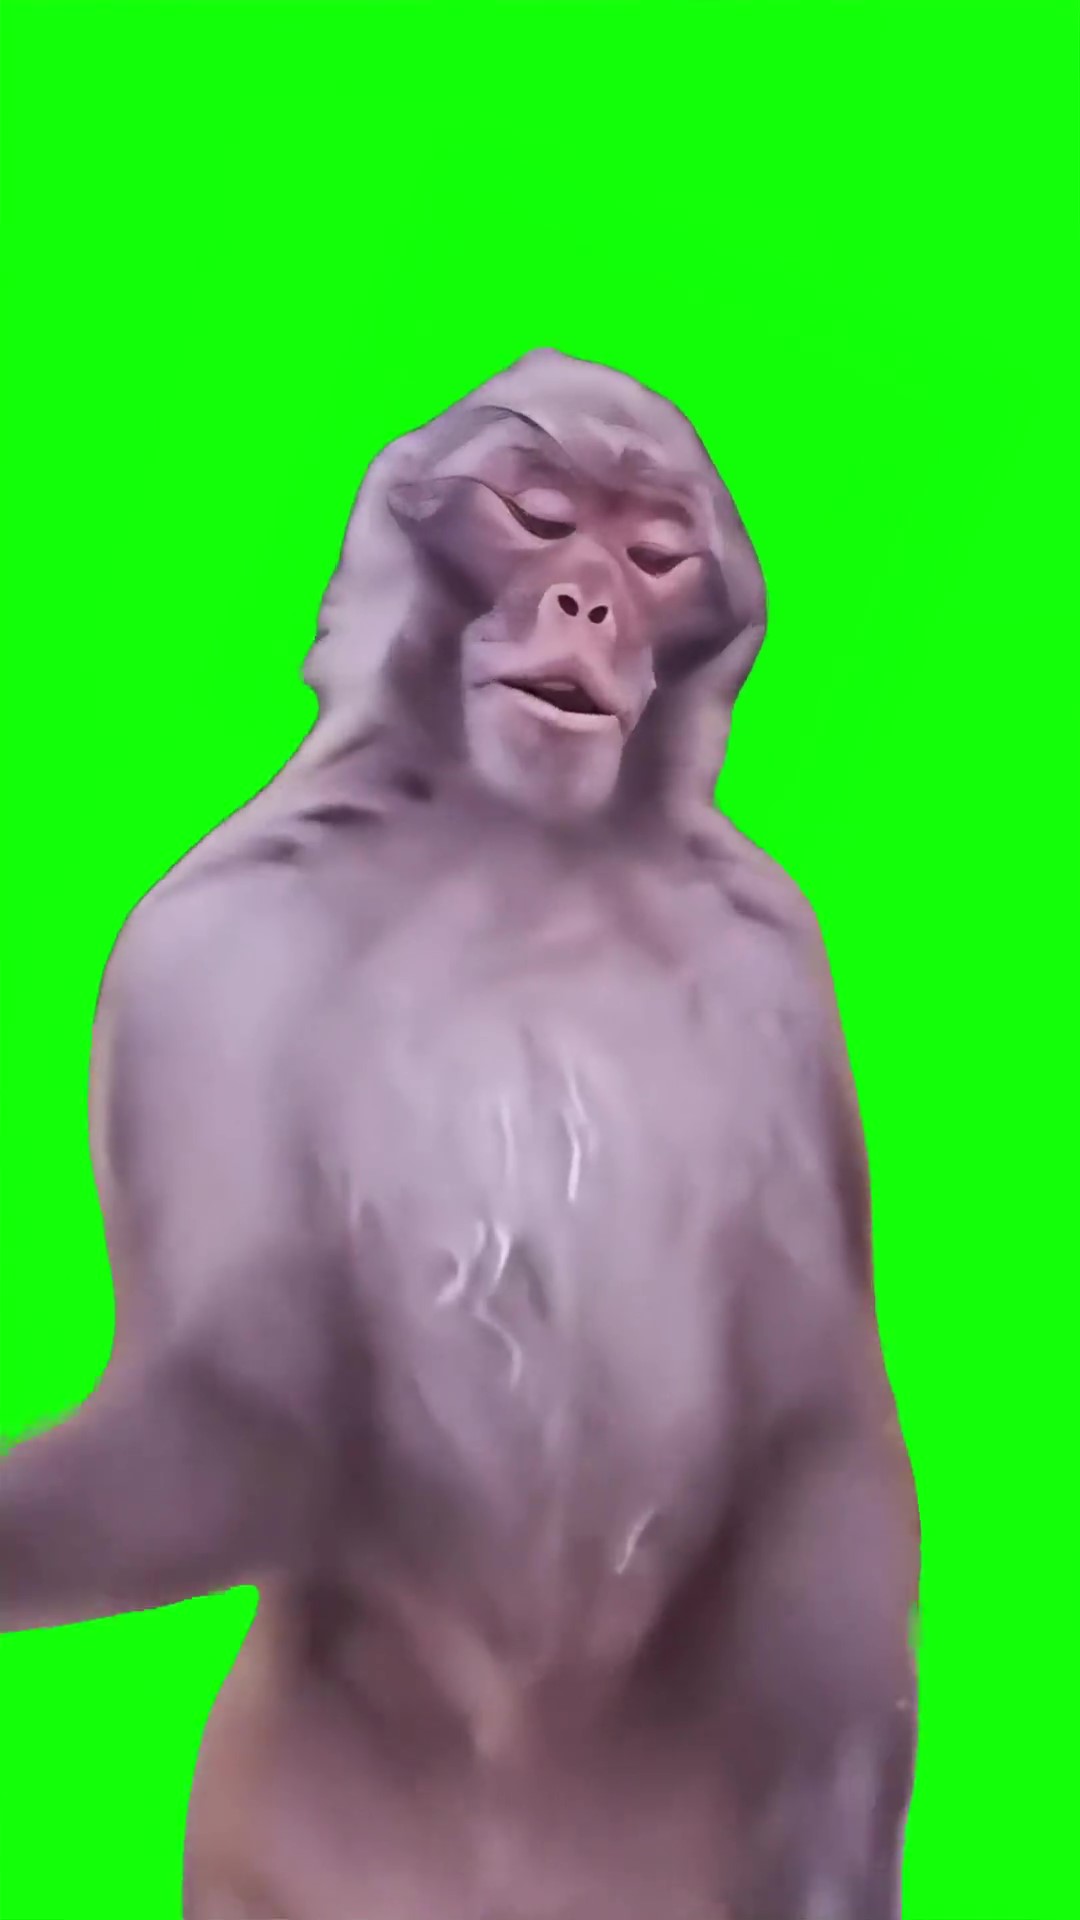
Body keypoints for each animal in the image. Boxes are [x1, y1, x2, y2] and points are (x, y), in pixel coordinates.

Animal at [0, 350, 919, 1920]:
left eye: (657, 555)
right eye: (535, 515)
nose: (589, 603)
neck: (524, 842)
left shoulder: (775, 958)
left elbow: (819, 1411)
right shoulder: (203, 938)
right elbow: (239, 1400)